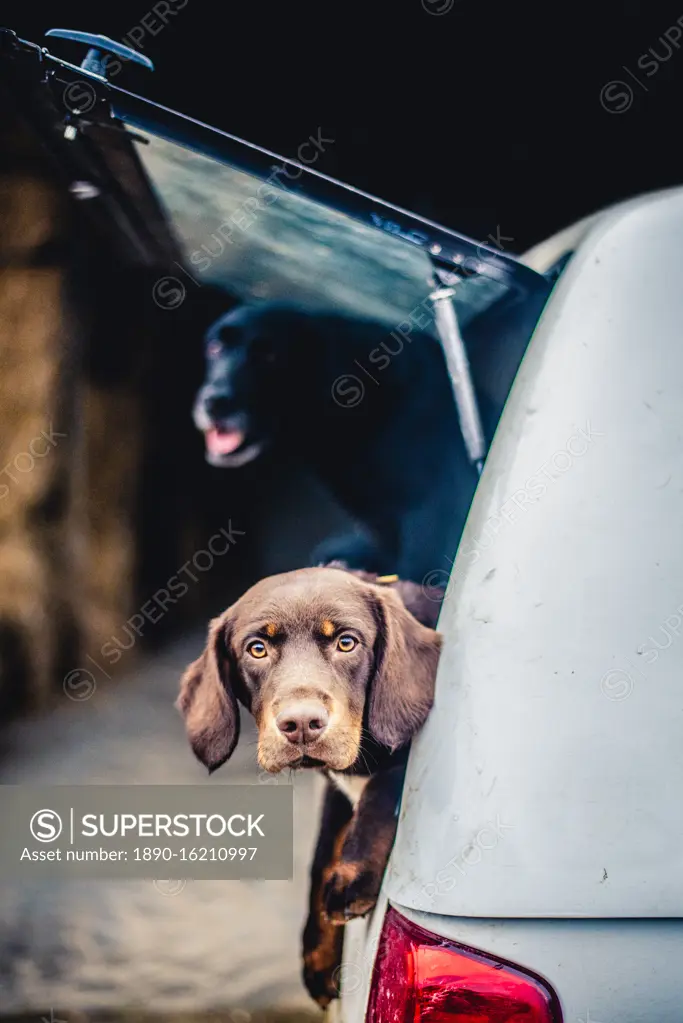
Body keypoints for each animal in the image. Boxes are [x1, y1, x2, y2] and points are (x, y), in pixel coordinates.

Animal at [175, 568, 443, 1006]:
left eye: (347, 642)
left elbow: (382, 790)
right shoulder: (335, 788)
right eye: (257, 649)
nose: (301, 724)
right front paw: (317, 955)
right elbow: (321, 855)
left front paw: (352, 880)